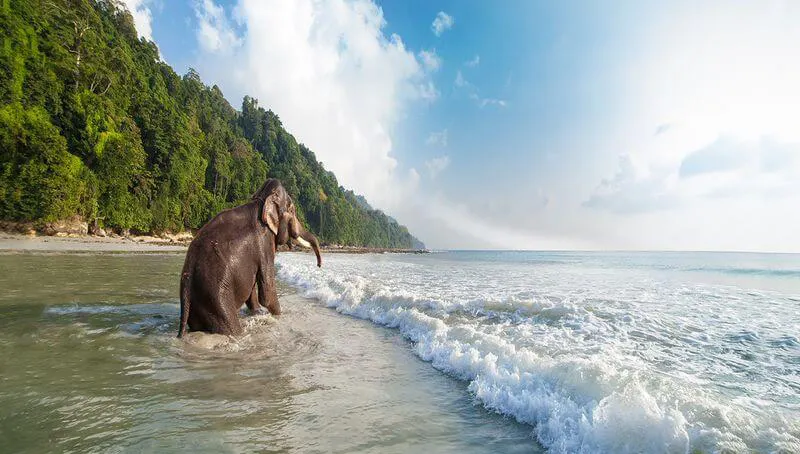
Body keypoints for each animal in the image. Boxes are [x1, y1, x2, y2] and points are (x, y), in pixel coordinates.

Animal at [177, 178, 321, 337]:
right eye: (292, 210)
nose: (319, 265)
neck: (261, 200)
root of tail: (186, 283)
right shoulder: (264, 243)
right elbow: (267, 293)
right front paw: (278, 315)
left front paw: (258, 312)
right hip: (216, 299)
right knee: (230, 326)